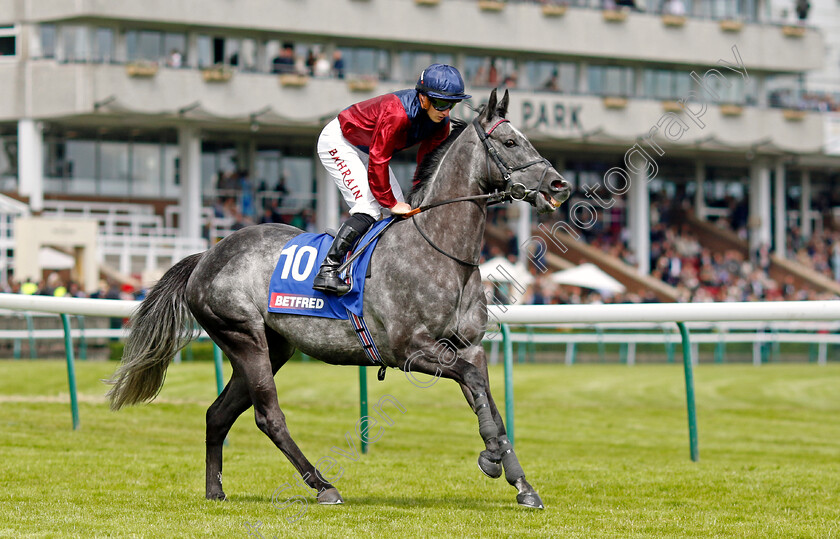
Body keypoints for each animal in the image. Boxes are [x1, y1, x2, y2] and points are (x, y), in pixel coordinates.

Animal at [106, 88, 572, 510]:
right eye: (510, 142)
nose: (559, 185)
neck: (439, 250)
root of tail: (207, 255)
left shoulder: (469, 347)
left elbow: (488, 401)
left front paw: (520, 482)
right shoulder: (411, 350)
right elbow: (476, 388)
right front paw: (491, 457)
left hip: (272, 346)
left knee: (218, 414)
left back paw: (215, 491)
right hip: (243, 336)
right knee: (268, 415)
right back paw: (323, 486)